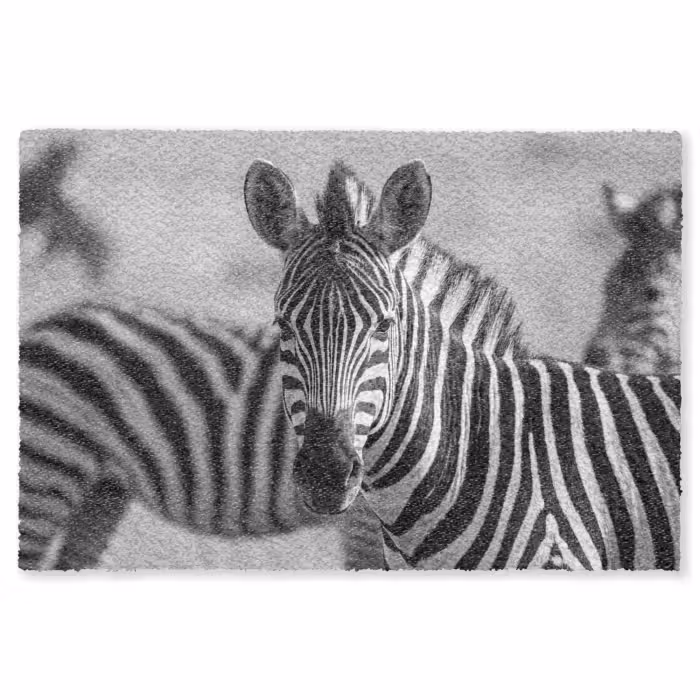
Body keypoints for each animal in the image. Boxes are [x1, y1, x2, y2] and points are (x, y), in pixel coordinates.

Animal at [19, 167, 526, 570]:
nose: (326, 471)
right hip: (45, 470)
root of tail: (44, 323)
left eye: (386, 325)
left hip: (102, 489)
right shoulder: (364, 523)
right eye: (282, 325)